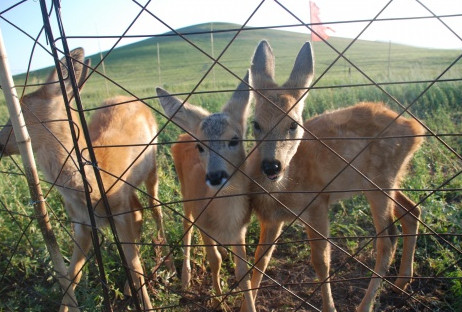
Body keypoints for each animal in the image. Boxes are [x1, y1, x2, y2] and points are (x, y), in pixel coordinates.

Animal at [0, 47, 173, 310]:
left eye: (16, 116)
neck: (91, 187)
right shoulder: (80, 223)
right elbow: (71, 275)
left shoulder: (119, 213)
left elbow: (134, 266)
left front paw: (147, 305)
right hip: (130, 192)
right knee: (140, 211)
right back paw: (128, 286)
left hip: (151, 167)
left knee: (154, 208)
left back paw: (168, 262)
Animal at [156, 72, 256, 310]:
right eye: (201, 146)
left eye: (234, 139)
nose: (215, 176)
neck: (225, 219)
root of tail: (184, 134)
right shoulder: (204, 224)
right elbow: (214, 261)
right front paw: (220, 303)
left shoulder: (241, 229)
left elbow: (243, 272)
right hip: (185, 196)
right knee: (187, 228)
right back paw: (185, 278)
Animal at [242, 40, 426, 310]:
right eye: (255, 124)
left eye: (293, 124)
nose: (271, 166)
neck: (284, 189)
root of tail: (416, 130)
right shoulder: (272, 218)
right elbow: (259, 260)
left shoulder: (317, 202)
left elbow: (321, 262)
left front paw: (329, 306)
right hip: (386, 179)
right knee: (412, 210)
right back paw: (402, 282)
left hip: (379, 181)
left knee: (387, 239)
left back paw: (366, 304)